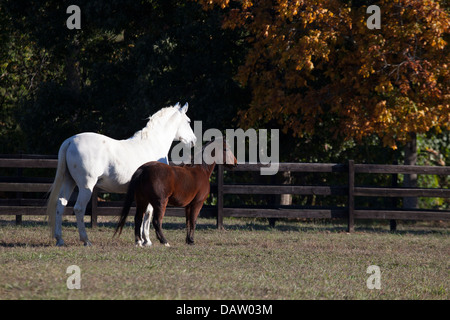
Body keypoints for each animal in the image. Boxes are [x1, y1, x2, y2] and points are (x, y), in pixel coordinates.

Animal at [45, 104, 197, 246]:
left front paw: (141, 240)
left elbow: (142, 213)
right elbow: (148, 213)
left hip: (69, 182)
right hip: (86, 186)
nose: (194, 141)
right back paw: (86, 240)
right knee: (79, 209)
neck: (152, 144)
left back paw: (60, 239)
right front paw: (147, 240)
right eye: (188, 121)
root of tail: (70, 141)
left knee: (60, 205)